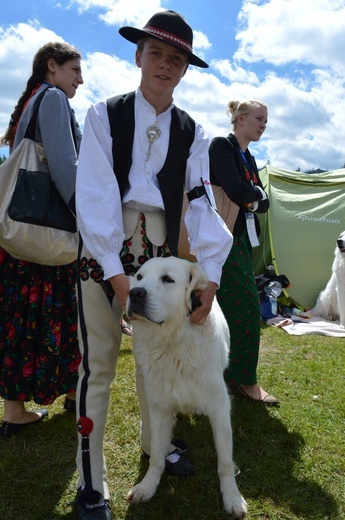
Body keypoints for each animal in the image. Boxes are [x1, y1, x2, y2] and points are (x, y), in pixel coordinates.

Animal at [125, 256, 246, 520]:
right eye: (138, 277)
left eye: (167, 279)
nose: (135, 293)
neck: (173, 343)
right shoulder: (159, 407)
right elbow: (156, 456)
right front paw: (147, 487)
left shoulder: (220, 409)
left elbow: (225, 461)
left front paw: (232, 497)